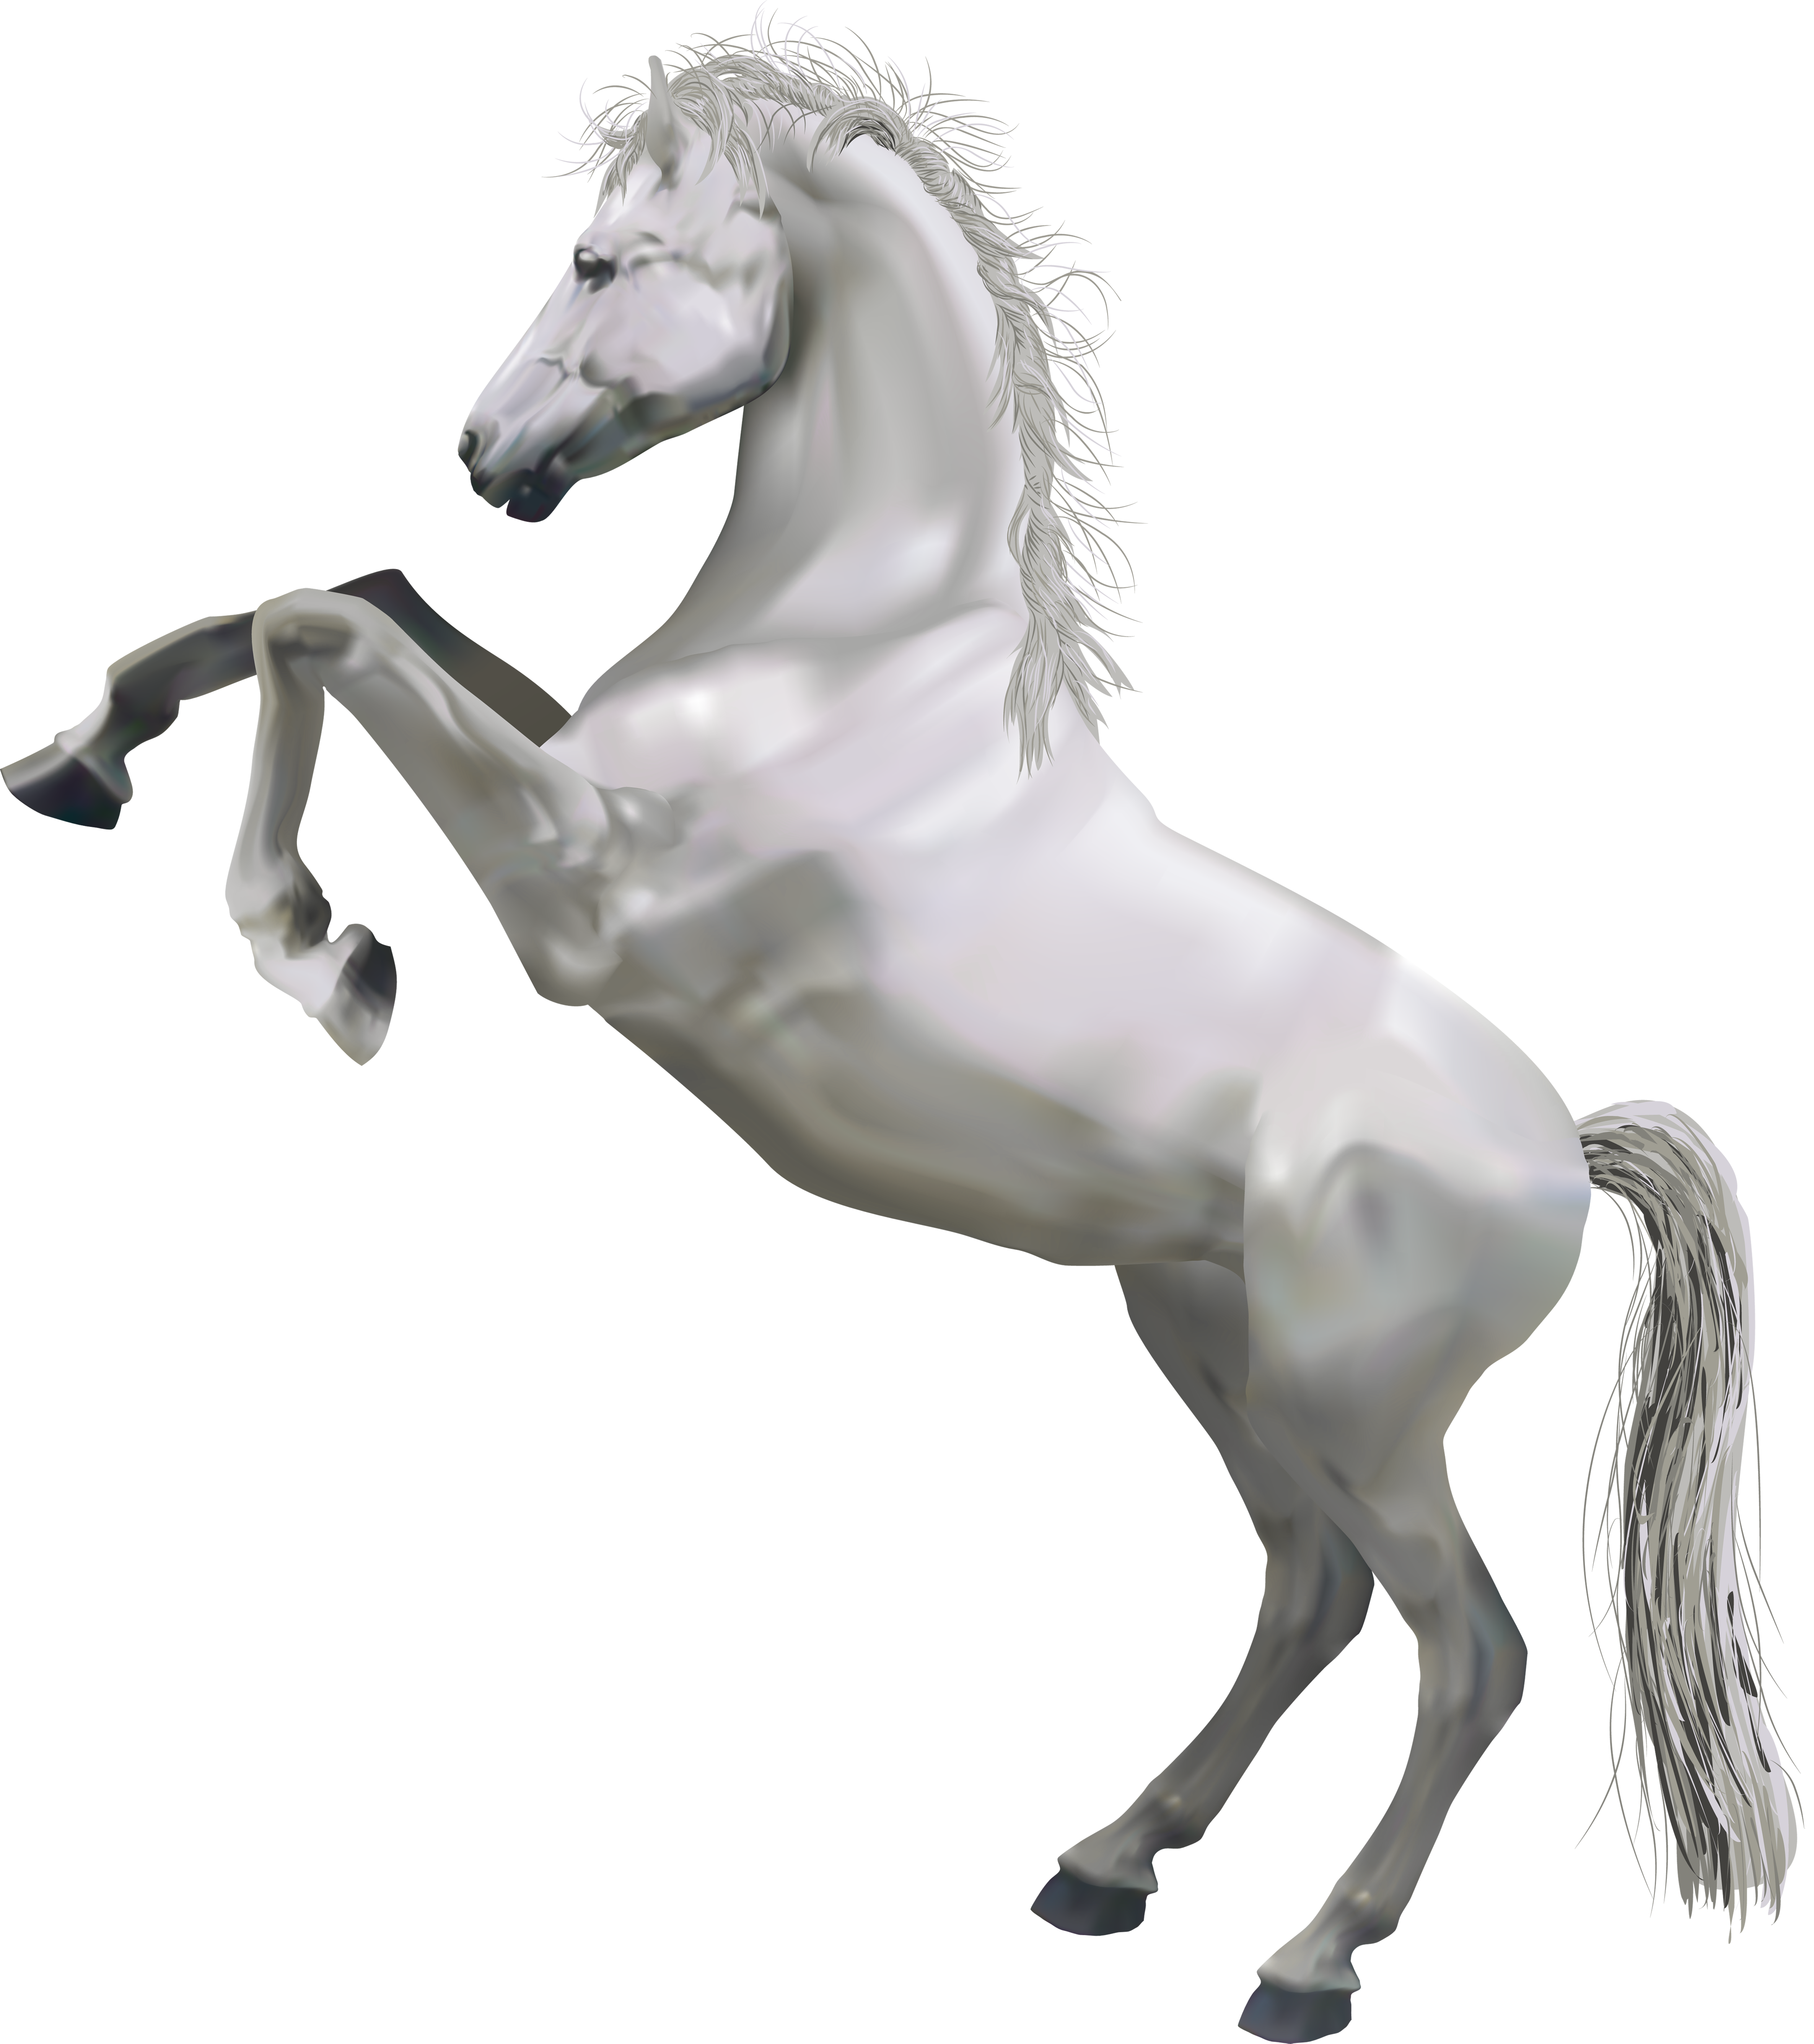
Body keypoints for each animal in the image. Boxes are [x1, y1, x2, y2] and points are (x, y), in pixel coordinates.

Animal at [13, 38, 1797, 1993]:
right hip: (1231, 1366)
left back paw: (1282, 1948)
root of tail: (1560, 1144)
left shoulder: (582, 897)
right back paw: (1117, 1862)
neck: (842, 648)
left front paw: (292, 923)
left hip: (1357, 1411)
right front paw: (77, 769)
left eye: (599, 261)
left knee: (1464, 1647)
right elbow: (280, 622)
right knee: (1312, 1597)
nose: (480, 467)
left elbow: (322, 637)